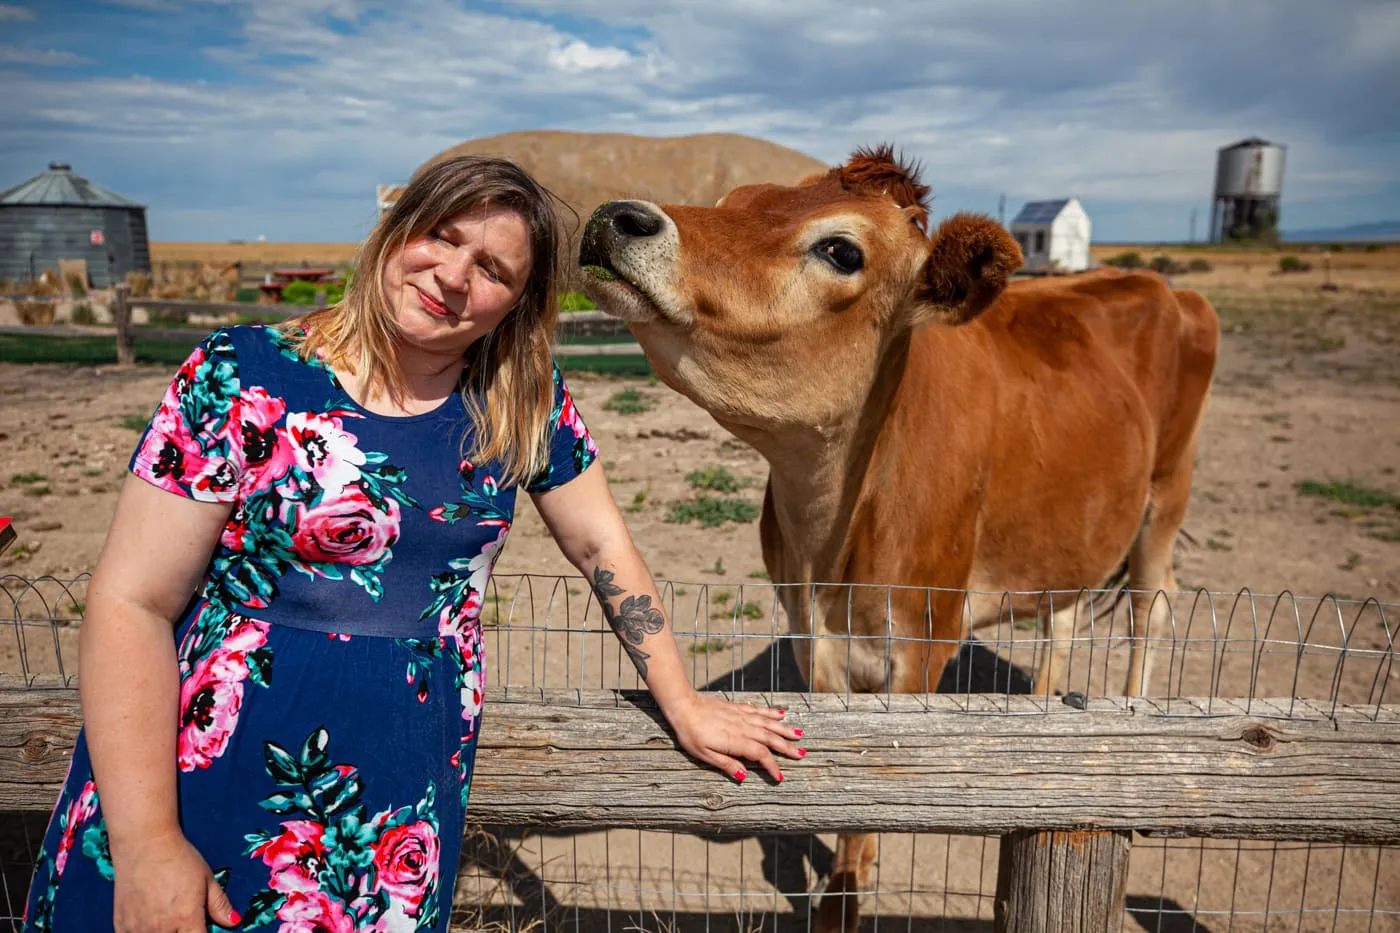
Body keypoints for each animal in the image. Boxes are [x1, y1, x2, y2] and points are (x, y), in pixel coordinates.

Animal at [574, 145, 1220, 930]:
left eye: (841, 250)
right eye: (734, 200)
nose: (620, 216)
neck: (832, 544)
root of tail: (1161, 285)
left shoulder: (923, 643)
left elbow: (872, 788)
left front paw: (852, 886)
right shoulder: (810, 636)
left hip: (1167, 493)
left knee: (1151, 608)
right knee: (1063, 615)